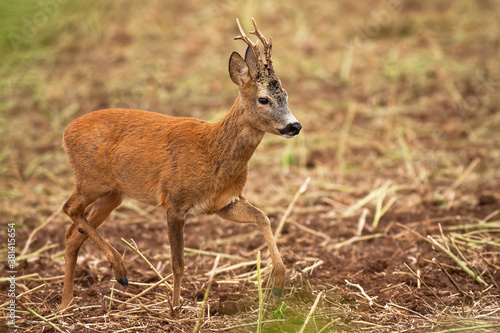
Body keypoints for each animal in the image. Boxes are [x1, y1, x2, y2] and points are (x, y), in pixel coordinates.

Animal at [59, 18, 300, 308]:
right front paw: (175, 307)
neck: (212, 152)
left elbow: (263, 218)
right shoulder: (174, 201)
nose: (294, 126)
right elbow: (178, 263)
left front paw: (279, 282)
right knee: (69, 209)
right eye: (263, 99)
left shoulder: (225, 203)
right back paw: (119, 271)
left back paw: (67, 303)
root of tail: (66, 132)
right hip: (90, 180)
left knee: (72, 234)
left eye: (286, 95)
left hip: (113, 193)